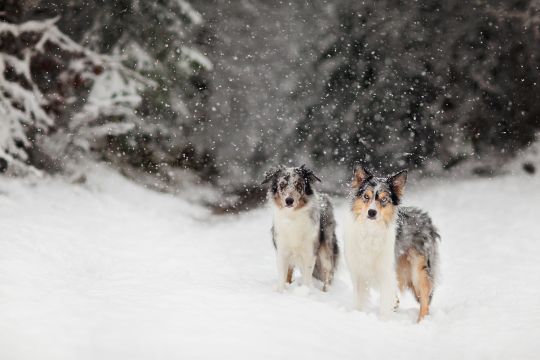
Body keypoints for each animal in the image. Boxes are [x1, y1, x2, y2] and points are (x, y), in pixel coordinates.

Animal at [344, 165, 440, 320]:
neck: (371, 231)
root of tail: (426, 218)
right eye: (366, 196)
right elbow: (359, 302)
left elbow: (384, 306)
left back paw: (421, 322)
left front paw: (383, 321)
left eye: (384, 199)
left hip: (418, 270)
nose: (372, 212)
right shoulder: (358, 272)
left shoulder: (386, 273)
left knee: (425, 298)